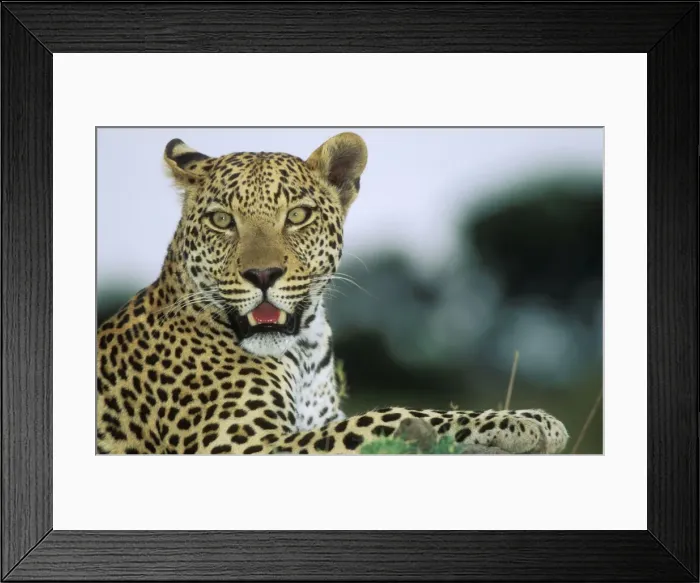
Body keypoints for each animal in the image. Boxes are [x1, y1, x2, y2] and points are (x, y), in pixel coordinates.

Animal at [96, 132, 569, 454]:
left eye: (297, 216)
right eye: (222, 220)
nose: (262, 274)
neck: (303, 349)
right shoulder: (240, 443)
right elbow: (391, 415)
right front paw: (526, 422)